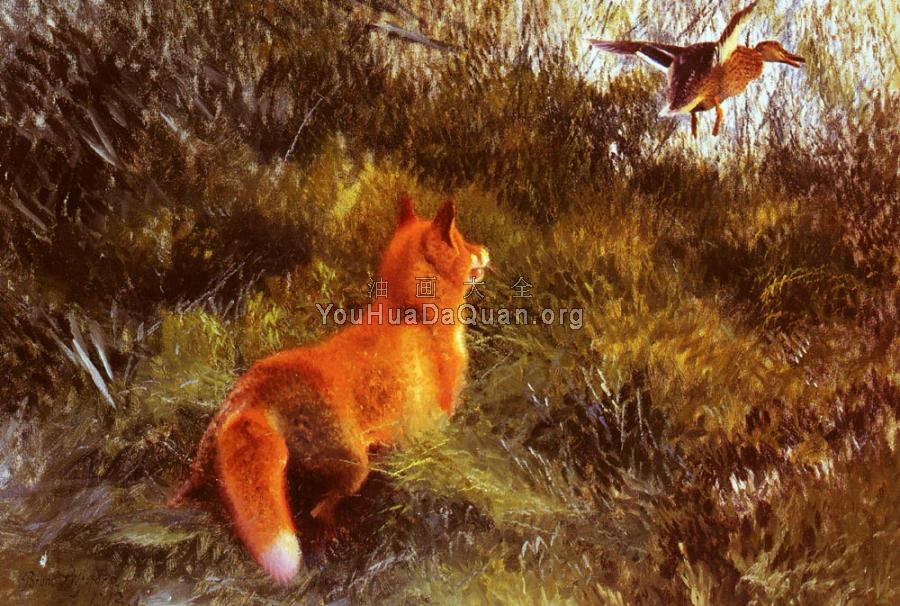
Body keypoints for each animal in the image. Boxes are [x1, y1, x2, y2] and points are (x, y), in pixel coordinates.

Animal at [168, 193, 490, 583]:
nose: (486, 250)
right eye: (464, 242)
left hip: (205, 472)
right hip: (353, 468)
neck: (409, 312)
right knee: (320, 512)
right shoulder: (431, 426)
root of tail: (256, 389)